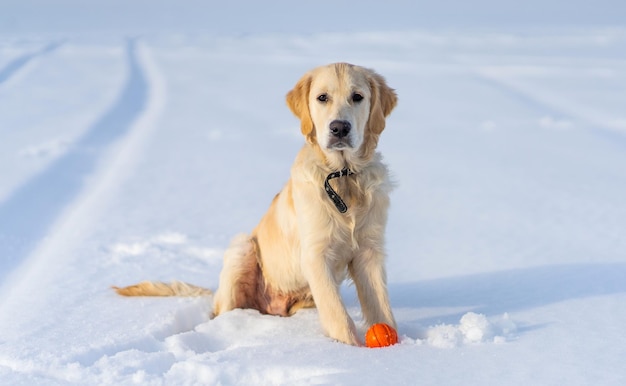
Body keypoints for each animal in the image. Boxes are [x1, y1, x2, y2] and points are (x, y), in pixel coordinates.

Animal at [115, 61, 398, 346]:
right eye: (322, 98)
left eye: (358, 97)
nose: (339, 128)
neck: (344, 176)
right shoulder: (316, 255)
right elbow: (337, 313)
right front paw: (351, 348)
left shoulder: (369, 250)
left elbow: (380, 305)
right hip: (242, 248)